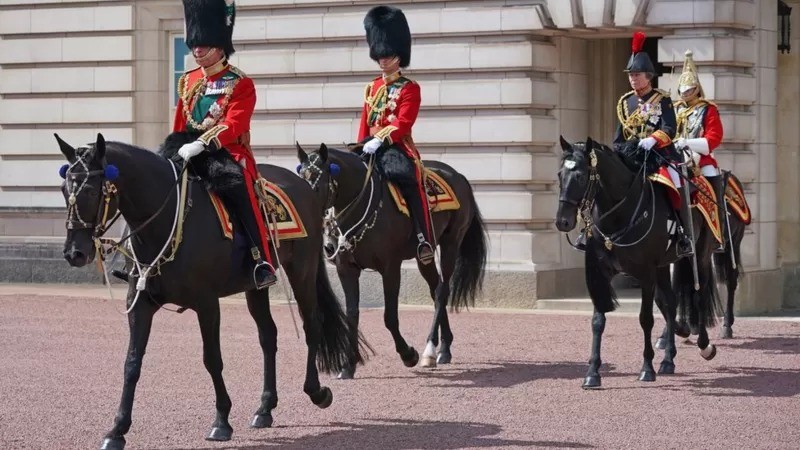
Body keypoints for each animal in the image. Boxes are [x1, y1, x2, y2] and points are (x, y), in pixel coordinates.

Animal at [56, 134, 368, 450]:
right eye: (64, 189)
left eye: (91, 190)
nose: (74, 253)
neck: (167, 222)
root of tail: (303, 186)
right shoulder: (140, 303)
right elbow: (132, 363)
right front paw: (117, 430)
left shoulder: (206, 303)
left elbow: (212, 359)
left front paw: (221, 421)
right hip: (255, 285)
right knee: (268, 336)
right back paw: (265, 408)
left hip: (301, 270)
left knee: (311, 325)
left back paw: (316, 391)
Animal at [296, 142, 488, 378]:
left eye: (315, 180)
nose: (329, 245)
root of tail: (459, 175)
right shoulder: (347, 269)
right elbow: (352, 315)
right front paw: (348, 365)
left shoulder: (390, 268)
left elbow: (389, 317)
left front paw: (408, 355)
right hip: (423, 257)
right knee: (435, 290)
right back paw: (444, 348)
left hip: (451, 244)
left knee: (442, 291)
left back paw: (429, 350)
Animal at [552, 135, 720, 388]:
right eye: (560, 174)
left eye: (580, 176)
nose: (563, 221)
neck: (619, 215)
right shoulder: (602, 273)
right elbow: (598, 320)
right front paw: (592, 372)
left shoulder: (646, 274)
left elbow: (645, 319)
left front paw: (647, 368)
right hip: (663, 266)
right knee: (670, 303)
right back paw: (668, 360)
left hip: (699, 255)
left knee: (698, 296)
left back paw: (704, 345)